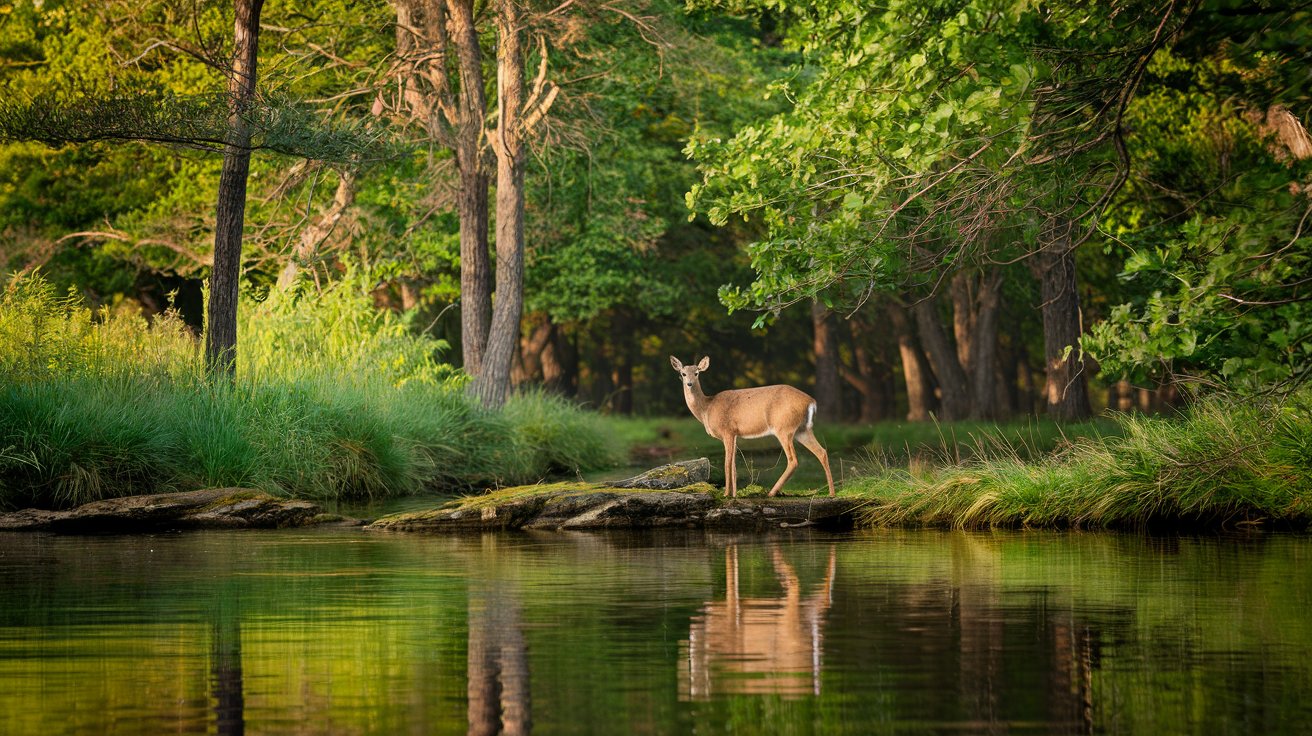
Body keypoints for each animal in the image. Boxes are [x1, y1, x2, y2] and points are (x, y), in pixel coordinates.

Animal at [671, 356, 834, 498]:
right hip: (802, 430)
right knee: (822, 452)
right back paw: (832, 493)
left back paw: (771, 493)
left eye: (697, 373)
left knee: (793, 460)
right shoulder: (735, 434)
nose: (689, 384)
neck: (707, 408)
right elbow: (734, 465)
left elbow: (727, 463)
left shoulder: (727, 431)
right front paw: (734, 495)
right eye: (683, 373)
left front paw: (726, 494)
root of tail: (811, 401)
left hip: (784, 427)